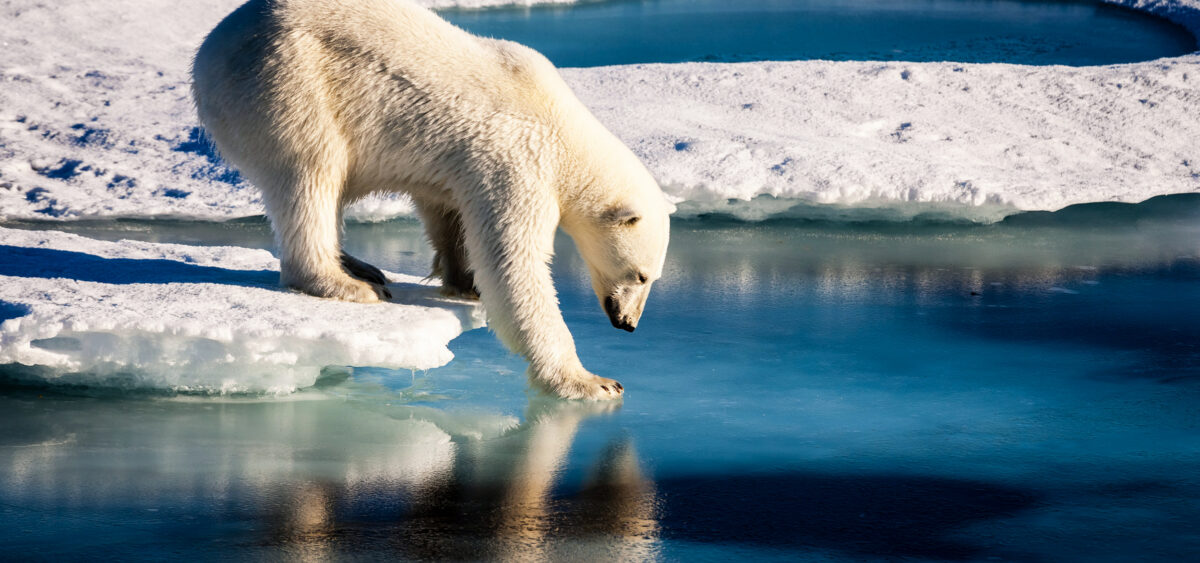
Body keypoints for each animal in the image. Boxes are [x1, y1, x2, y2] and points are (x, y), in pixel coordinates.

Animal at [192, 0, 672, 398]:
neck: (564, 131)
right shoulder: (518, 160)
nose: (628, 324)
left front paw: (464, 282)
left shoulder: (461, 166)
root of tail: (209, 50)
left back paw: (359, 266)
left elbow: (449, 213)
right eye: (642, 275)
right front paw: (592, 381)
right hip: (288, 83)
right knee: (311, 173)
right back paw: (347, 283)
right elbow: (514, 265)